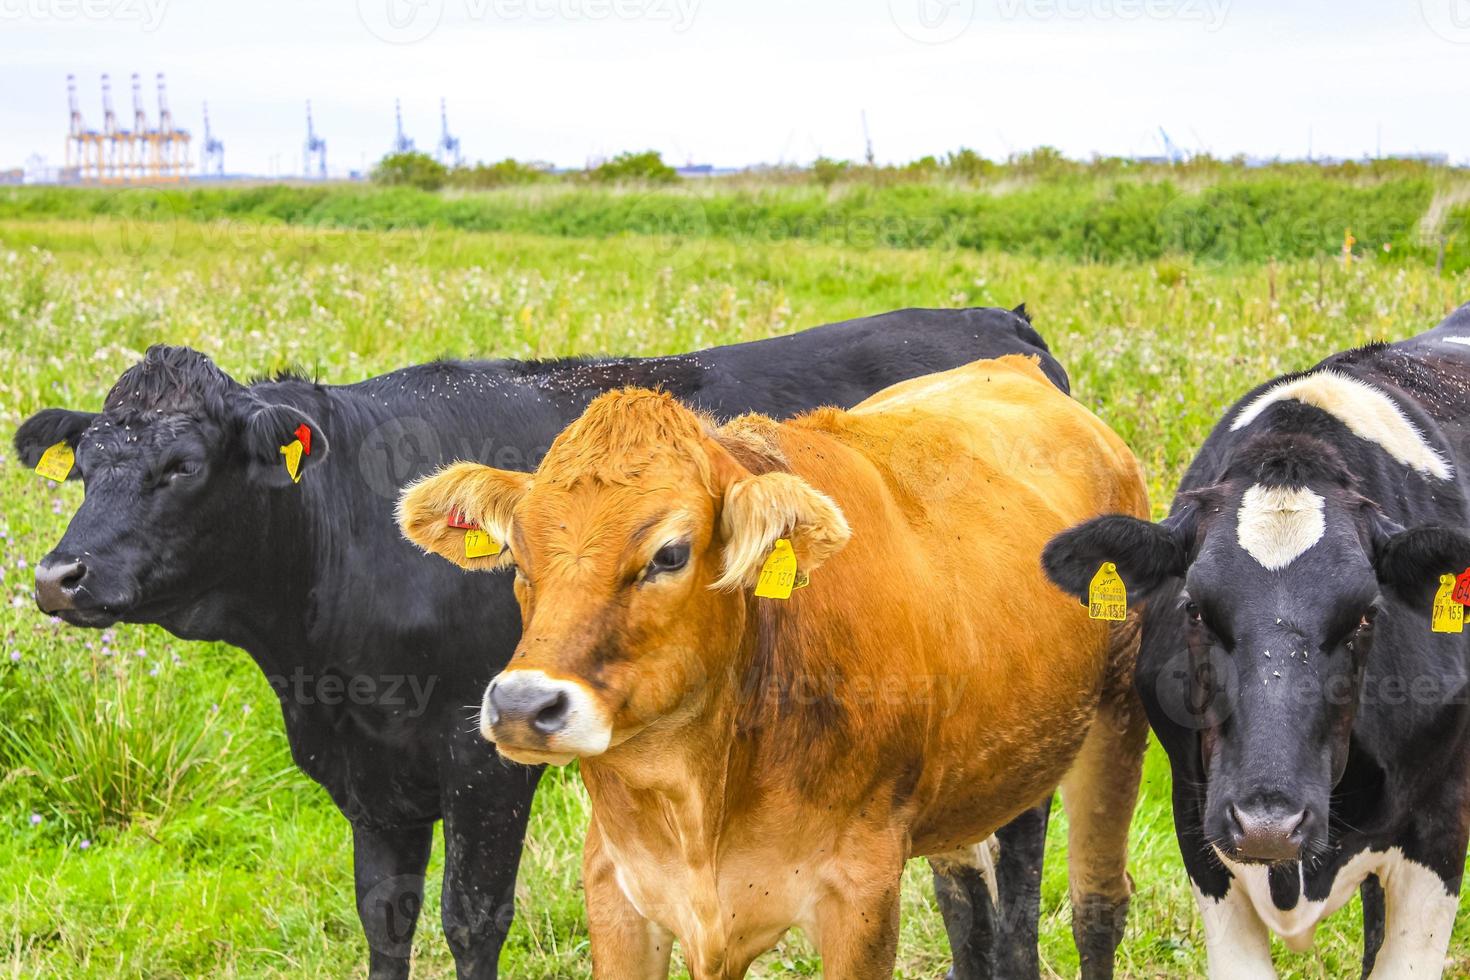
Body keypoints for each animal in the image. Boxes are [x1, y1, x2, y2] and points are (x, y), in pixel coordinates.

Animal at [17, 302, 1064, 975]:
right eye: (87, 466)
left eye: (183, 466)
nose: (58, 577)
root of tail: (1002, 329)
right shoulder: (370, 776)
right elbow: (385, 916)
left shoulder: (480, 755)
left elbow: (473, 919)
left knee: (1012, 896)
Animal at [399, 357, 1146, 975]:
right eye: (518, 555)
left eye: (670, 554)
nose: (524, 706)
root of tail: (1014, 366)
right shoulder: (618, 887)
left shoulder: (861, 895)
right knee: (970, 905)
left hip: (1115, 721)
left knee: (1095, 909)